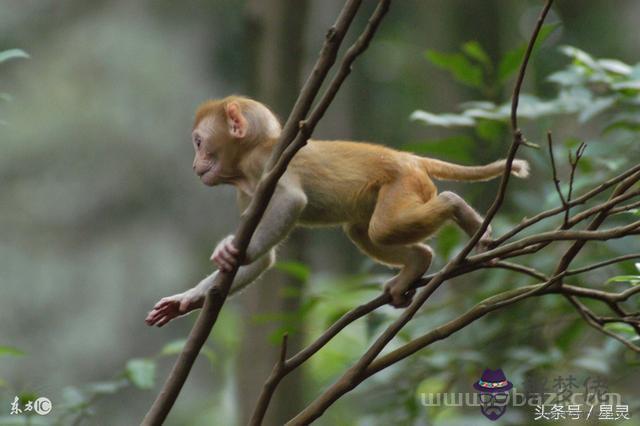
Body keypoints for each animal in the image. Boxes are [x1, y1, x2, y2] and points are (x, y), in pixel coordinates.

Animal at [146, 94, 528, 326]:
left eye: (199, 143)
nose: (195, 165)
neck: (248, 163)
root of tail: (411, 158)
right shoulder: (246, 195)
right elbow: (266, 260)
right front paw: (188, 300)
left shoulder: (266, 165)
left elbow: (291, 201)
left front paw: (236, 251)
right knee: (362, 231)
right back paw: (417, 263)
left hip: (404, 183)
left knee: (384, 228)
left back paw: (456, 207)